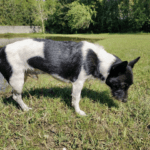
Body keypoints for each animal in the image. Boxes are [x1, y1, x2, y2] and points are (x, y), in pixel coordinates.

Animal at [0, 39, 140, 115]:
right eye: (122, 85)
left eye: (129, 86)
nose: (125, 101)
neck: (99, 60)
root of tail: (2, 49)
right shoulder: (78, 82)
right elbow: (76, 98)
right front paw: (78, 112)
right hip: (17, 80)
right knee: (16, 96)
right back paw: (25, 109)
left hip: (23, 76)